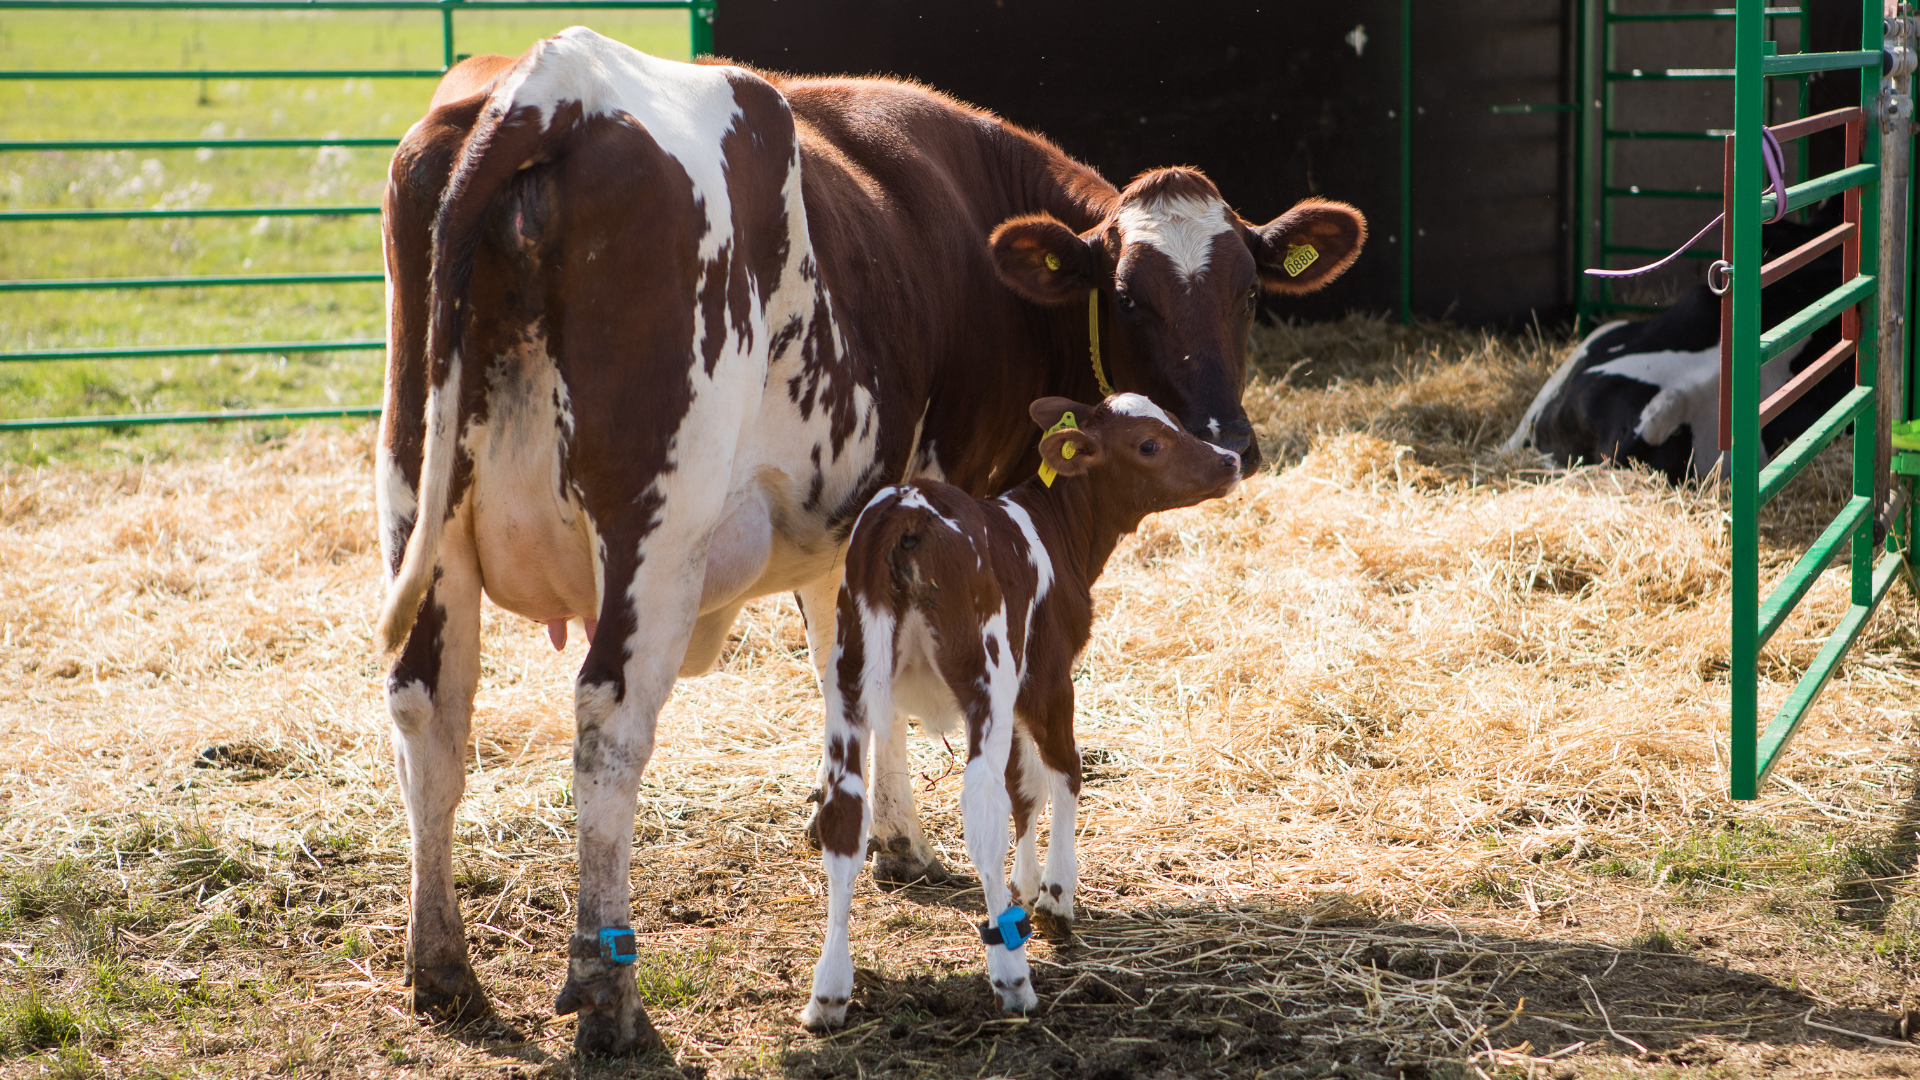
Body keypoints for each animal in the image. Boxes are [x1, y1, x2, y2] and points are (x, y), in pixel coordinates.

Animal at [802, 393, 1243, 1028]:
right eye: (1149, 444)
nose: (1230, 459)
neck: (1052, 533)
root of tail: (908, 514)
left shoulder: (1012, 701)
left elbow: (1026, 787)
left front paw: (1027, 884)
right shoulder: (1046, 677)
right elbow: (1063, 771)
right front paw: (1057, 893)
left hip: (850, 681)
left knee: (844, 817)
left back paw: (830, 991)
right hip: (982, 676)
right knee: (979, 804)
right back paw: (1010, 975)